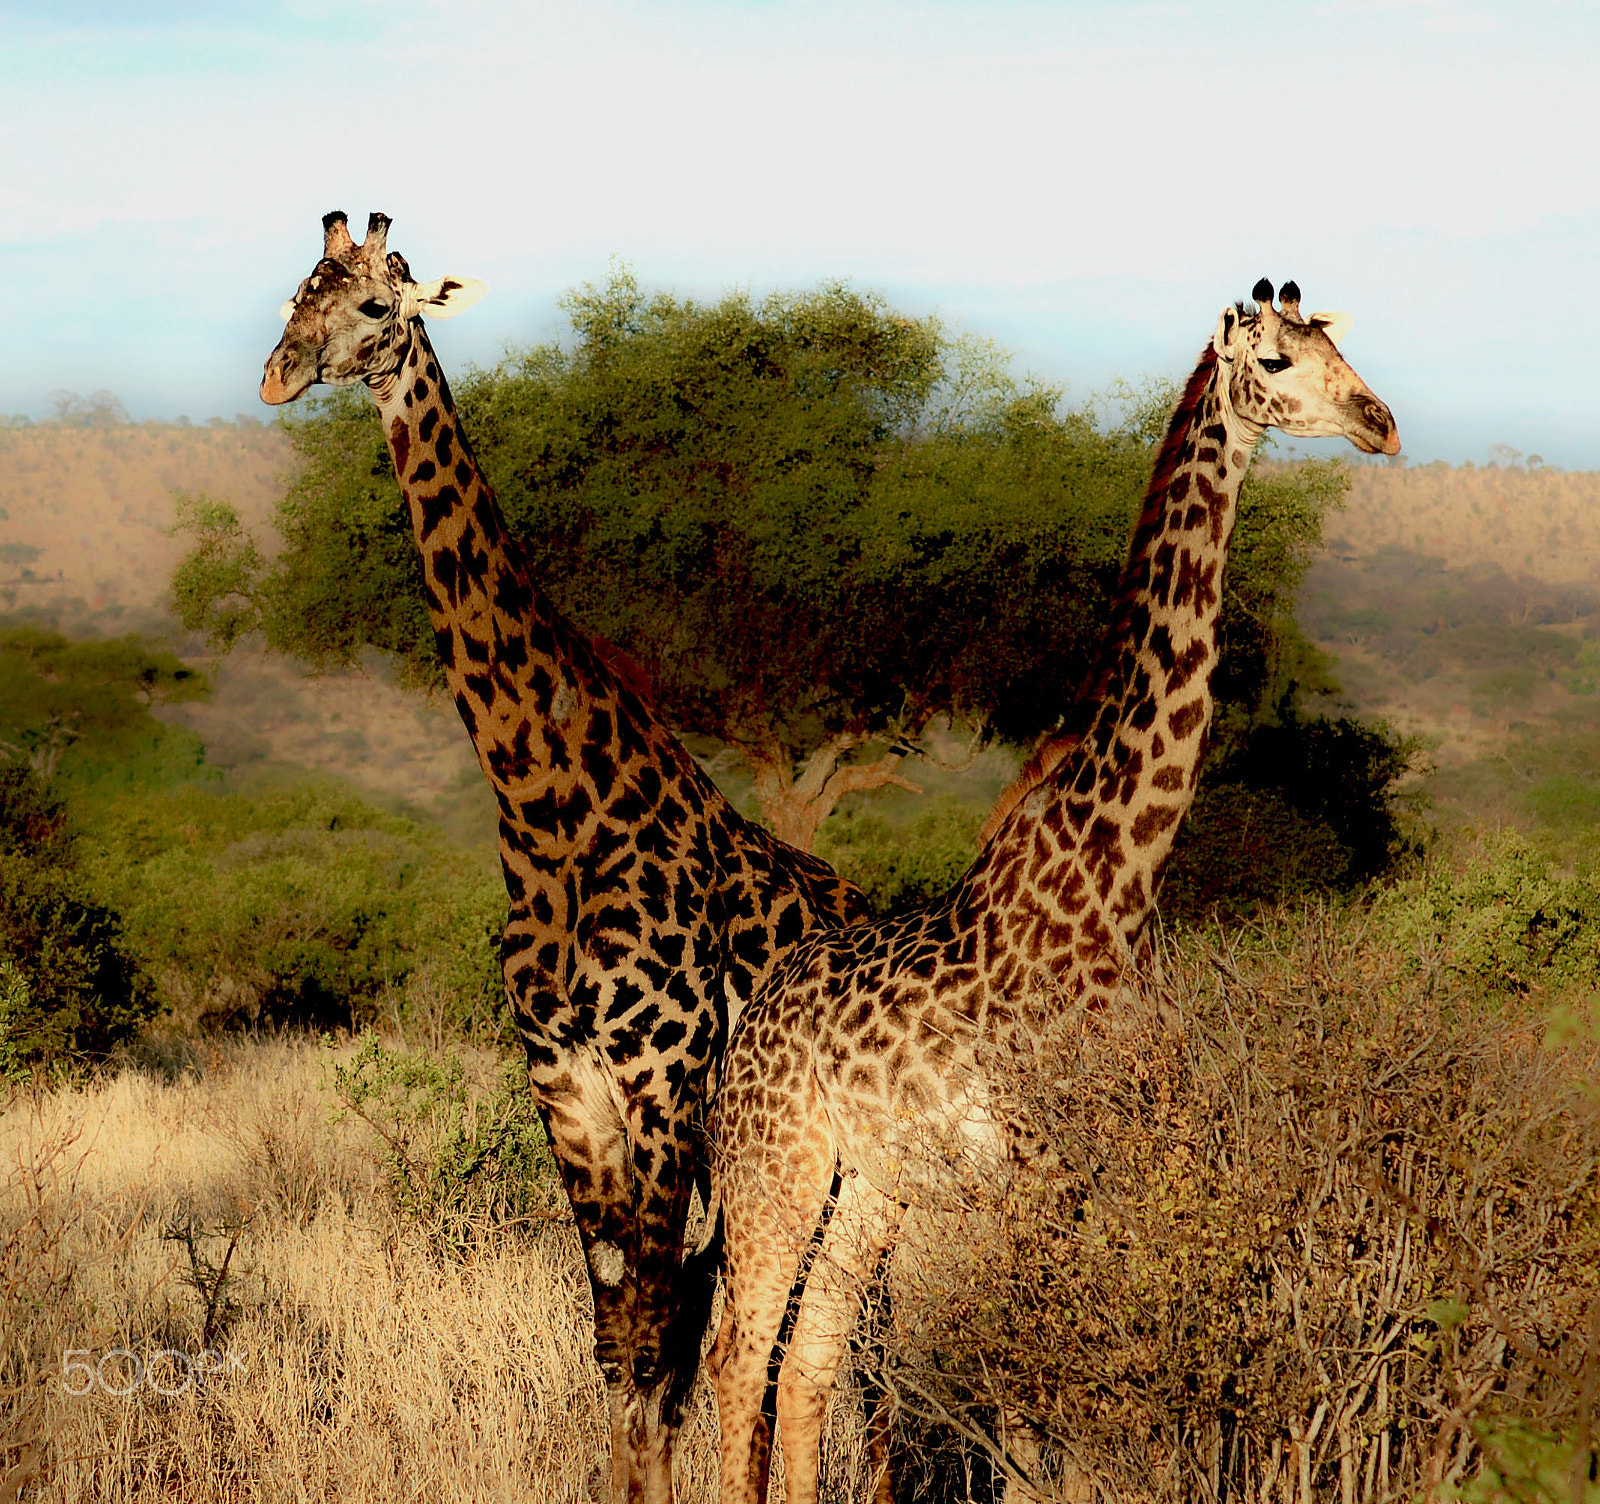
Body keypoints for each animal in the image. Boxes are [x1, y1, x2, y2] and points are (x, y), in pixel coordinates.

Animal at [259, 211, 868, 1504]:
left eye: (376, 309)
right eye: (296, 292)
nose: (279, 375)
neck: (544, 807)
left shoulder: (661, 1078)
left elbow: (655, 1333)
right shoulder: (562, 1078)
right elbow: (618, 1336)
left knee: (803, 1323)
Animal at [708, 280, 1400, 1504]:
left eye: (1339, 346)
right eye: (1276, 359)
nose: (1380, 422)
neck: (1122, 864)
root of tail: (752, 1014)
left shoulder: (1108, 1150)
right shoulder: (1033, 1162)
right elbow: (1041, 1391)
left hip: (866, 1185)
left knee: (811, 1363)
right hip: (772, 1170)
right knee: (744, 1359)